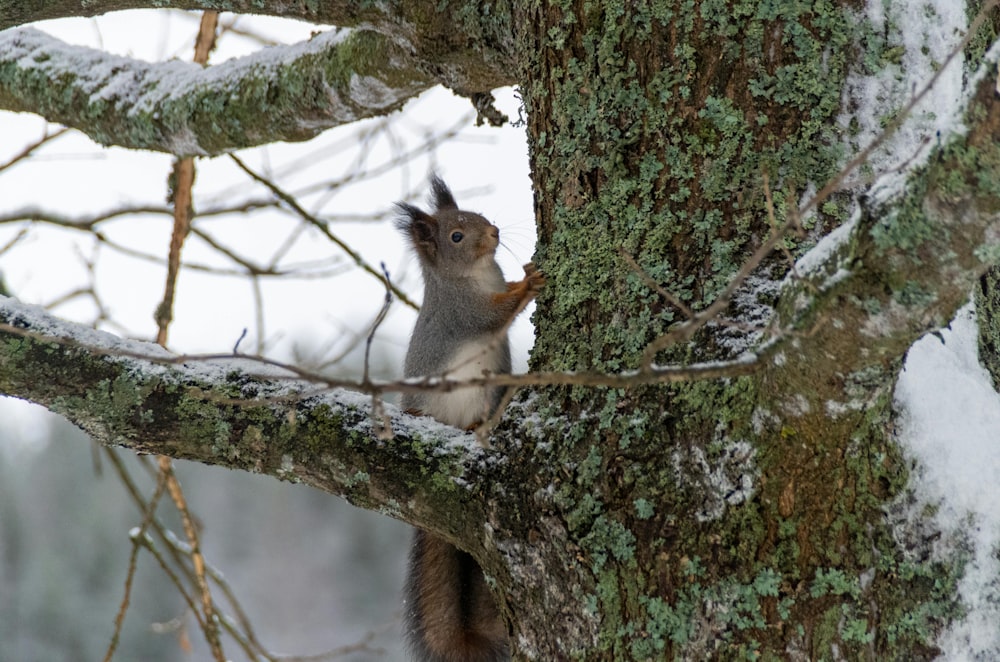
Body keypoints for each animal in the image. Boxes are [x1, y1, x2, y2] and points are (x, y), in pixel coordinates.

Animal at [394, 176, 544, 662]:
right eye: (456, 236)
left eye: (478, 216)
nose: (494, 232)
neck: (474, 274)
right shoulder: (464, 313)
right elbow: (494, 314)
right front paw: (528, 282)